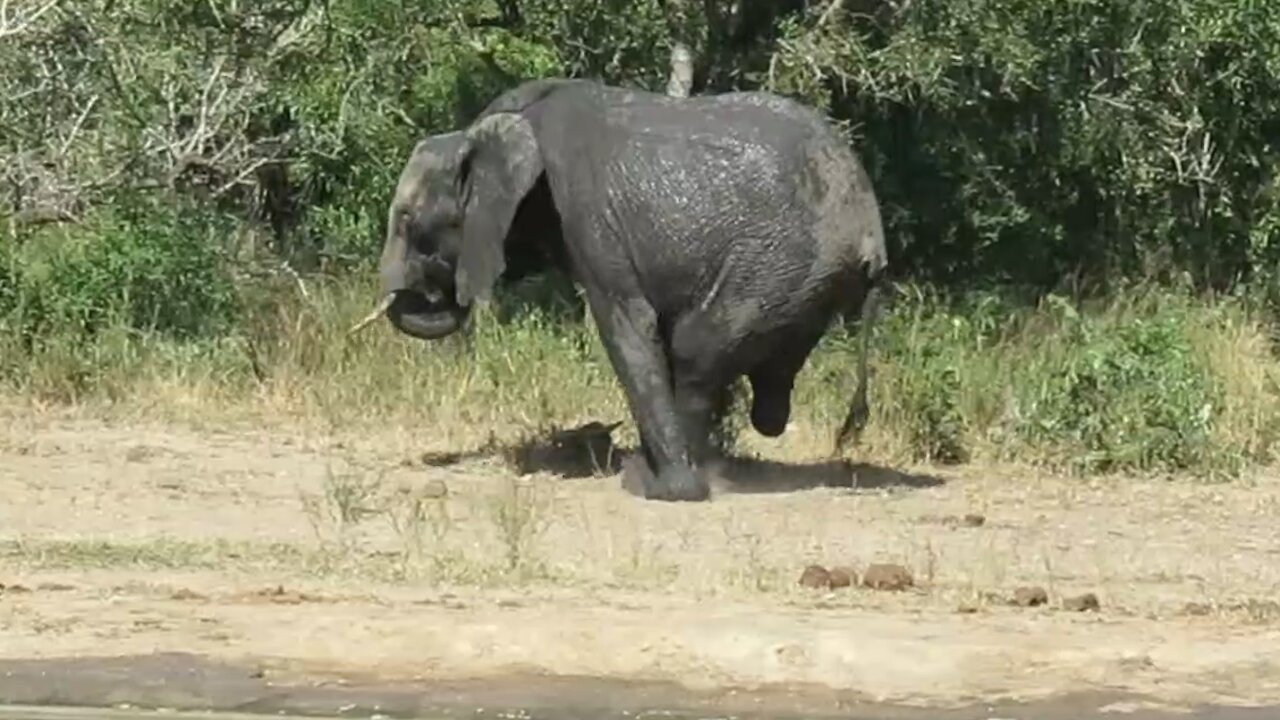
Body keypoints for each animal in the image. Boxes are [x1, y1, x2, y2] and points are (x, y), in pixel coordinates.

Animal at [366, 78, 890, 502]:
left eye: (408, 221)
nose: (433, 286)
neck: (487, 129)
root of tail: (872, 233)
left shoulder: (588, 216)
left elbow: (627, 327)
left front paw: (654, 484)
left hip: (774, 264)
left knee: (695, 354)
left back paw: (664, 485)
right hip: (803, 284)